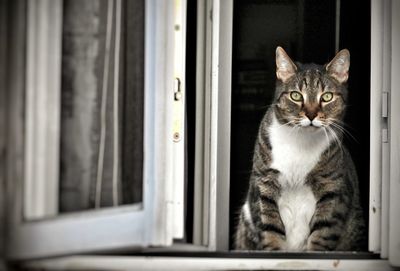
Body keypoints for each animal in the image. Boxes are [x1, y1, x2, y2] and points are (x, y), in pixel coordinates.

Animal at [233, 46, 368, 253]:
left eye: (327, 97)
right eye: (296, 95)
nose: (311, 115)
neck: (301, 141)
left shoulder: (331, 188)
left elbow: (322, 233)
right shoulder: (265, 182)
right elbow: (270, 229)